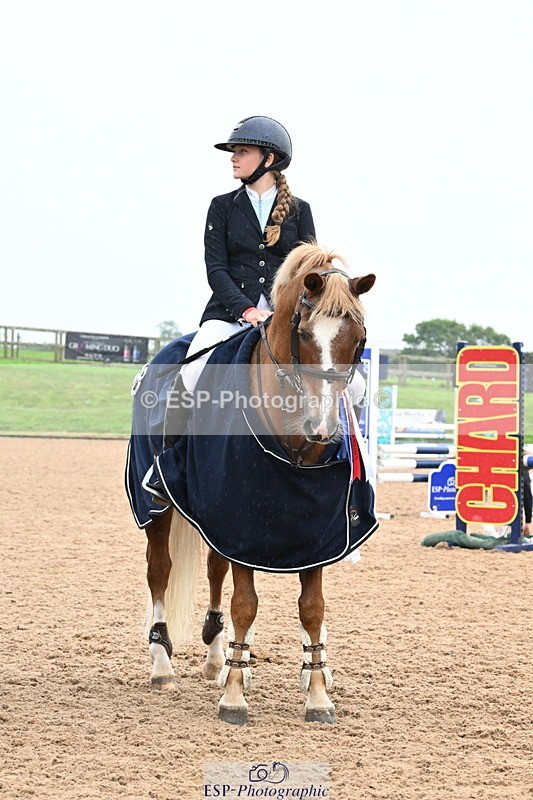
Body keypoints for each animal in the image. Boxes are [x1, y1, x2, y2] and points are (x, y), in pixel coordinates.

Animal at [126, 241, 377, 725]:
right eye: (304, 335)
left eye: (358, 340)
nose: (322, 428)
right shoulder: (239, 517)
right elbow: (245, 603)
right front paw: (234, 697)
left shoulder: (316, 529)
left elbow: (312, 609)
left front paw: (317, 693)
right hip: (159, 508)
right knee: (159, 570)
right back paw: (164, 665)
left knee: (214, 570)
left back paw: (217, 657)